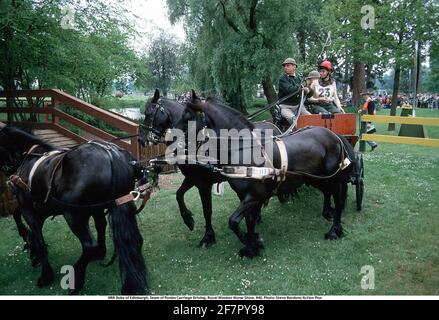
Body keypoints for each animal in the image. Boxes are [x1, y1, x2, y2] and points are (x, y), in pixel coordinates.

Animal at [0, 125, 148, 296]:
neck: (29, 157)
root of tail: (111, 152)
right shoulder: (43, 208)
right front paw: (31, 248)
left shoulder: (28, 207)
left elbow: (38, 237)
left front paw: (45, 275)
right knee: (134, 239)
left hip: (72, 216)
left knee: (89, 247)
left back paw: (75, 279)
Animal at [138, 89, 282, 248]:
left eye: (149, 113)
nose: (141, 139)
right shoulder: (192, 178)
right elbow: (179, 194)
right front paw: (188, 220)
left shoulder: (203, 184)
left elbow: (207, 210)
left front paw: (208, 236)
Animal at [180, 90, 358, 258]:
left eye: (187, 117)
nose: (178, 147)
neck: (244, 148)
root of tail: (334, 135)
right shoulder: (246, 197)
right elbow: (249, 221)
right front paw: (251, 247)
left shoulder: (254, 196)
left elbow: (233, 221)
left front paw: (252, 242)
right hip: (316, 179)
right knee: (328, 193)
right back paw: (328, 214)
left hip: (334, 179)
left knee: (338, 200)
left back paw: (334, 230)